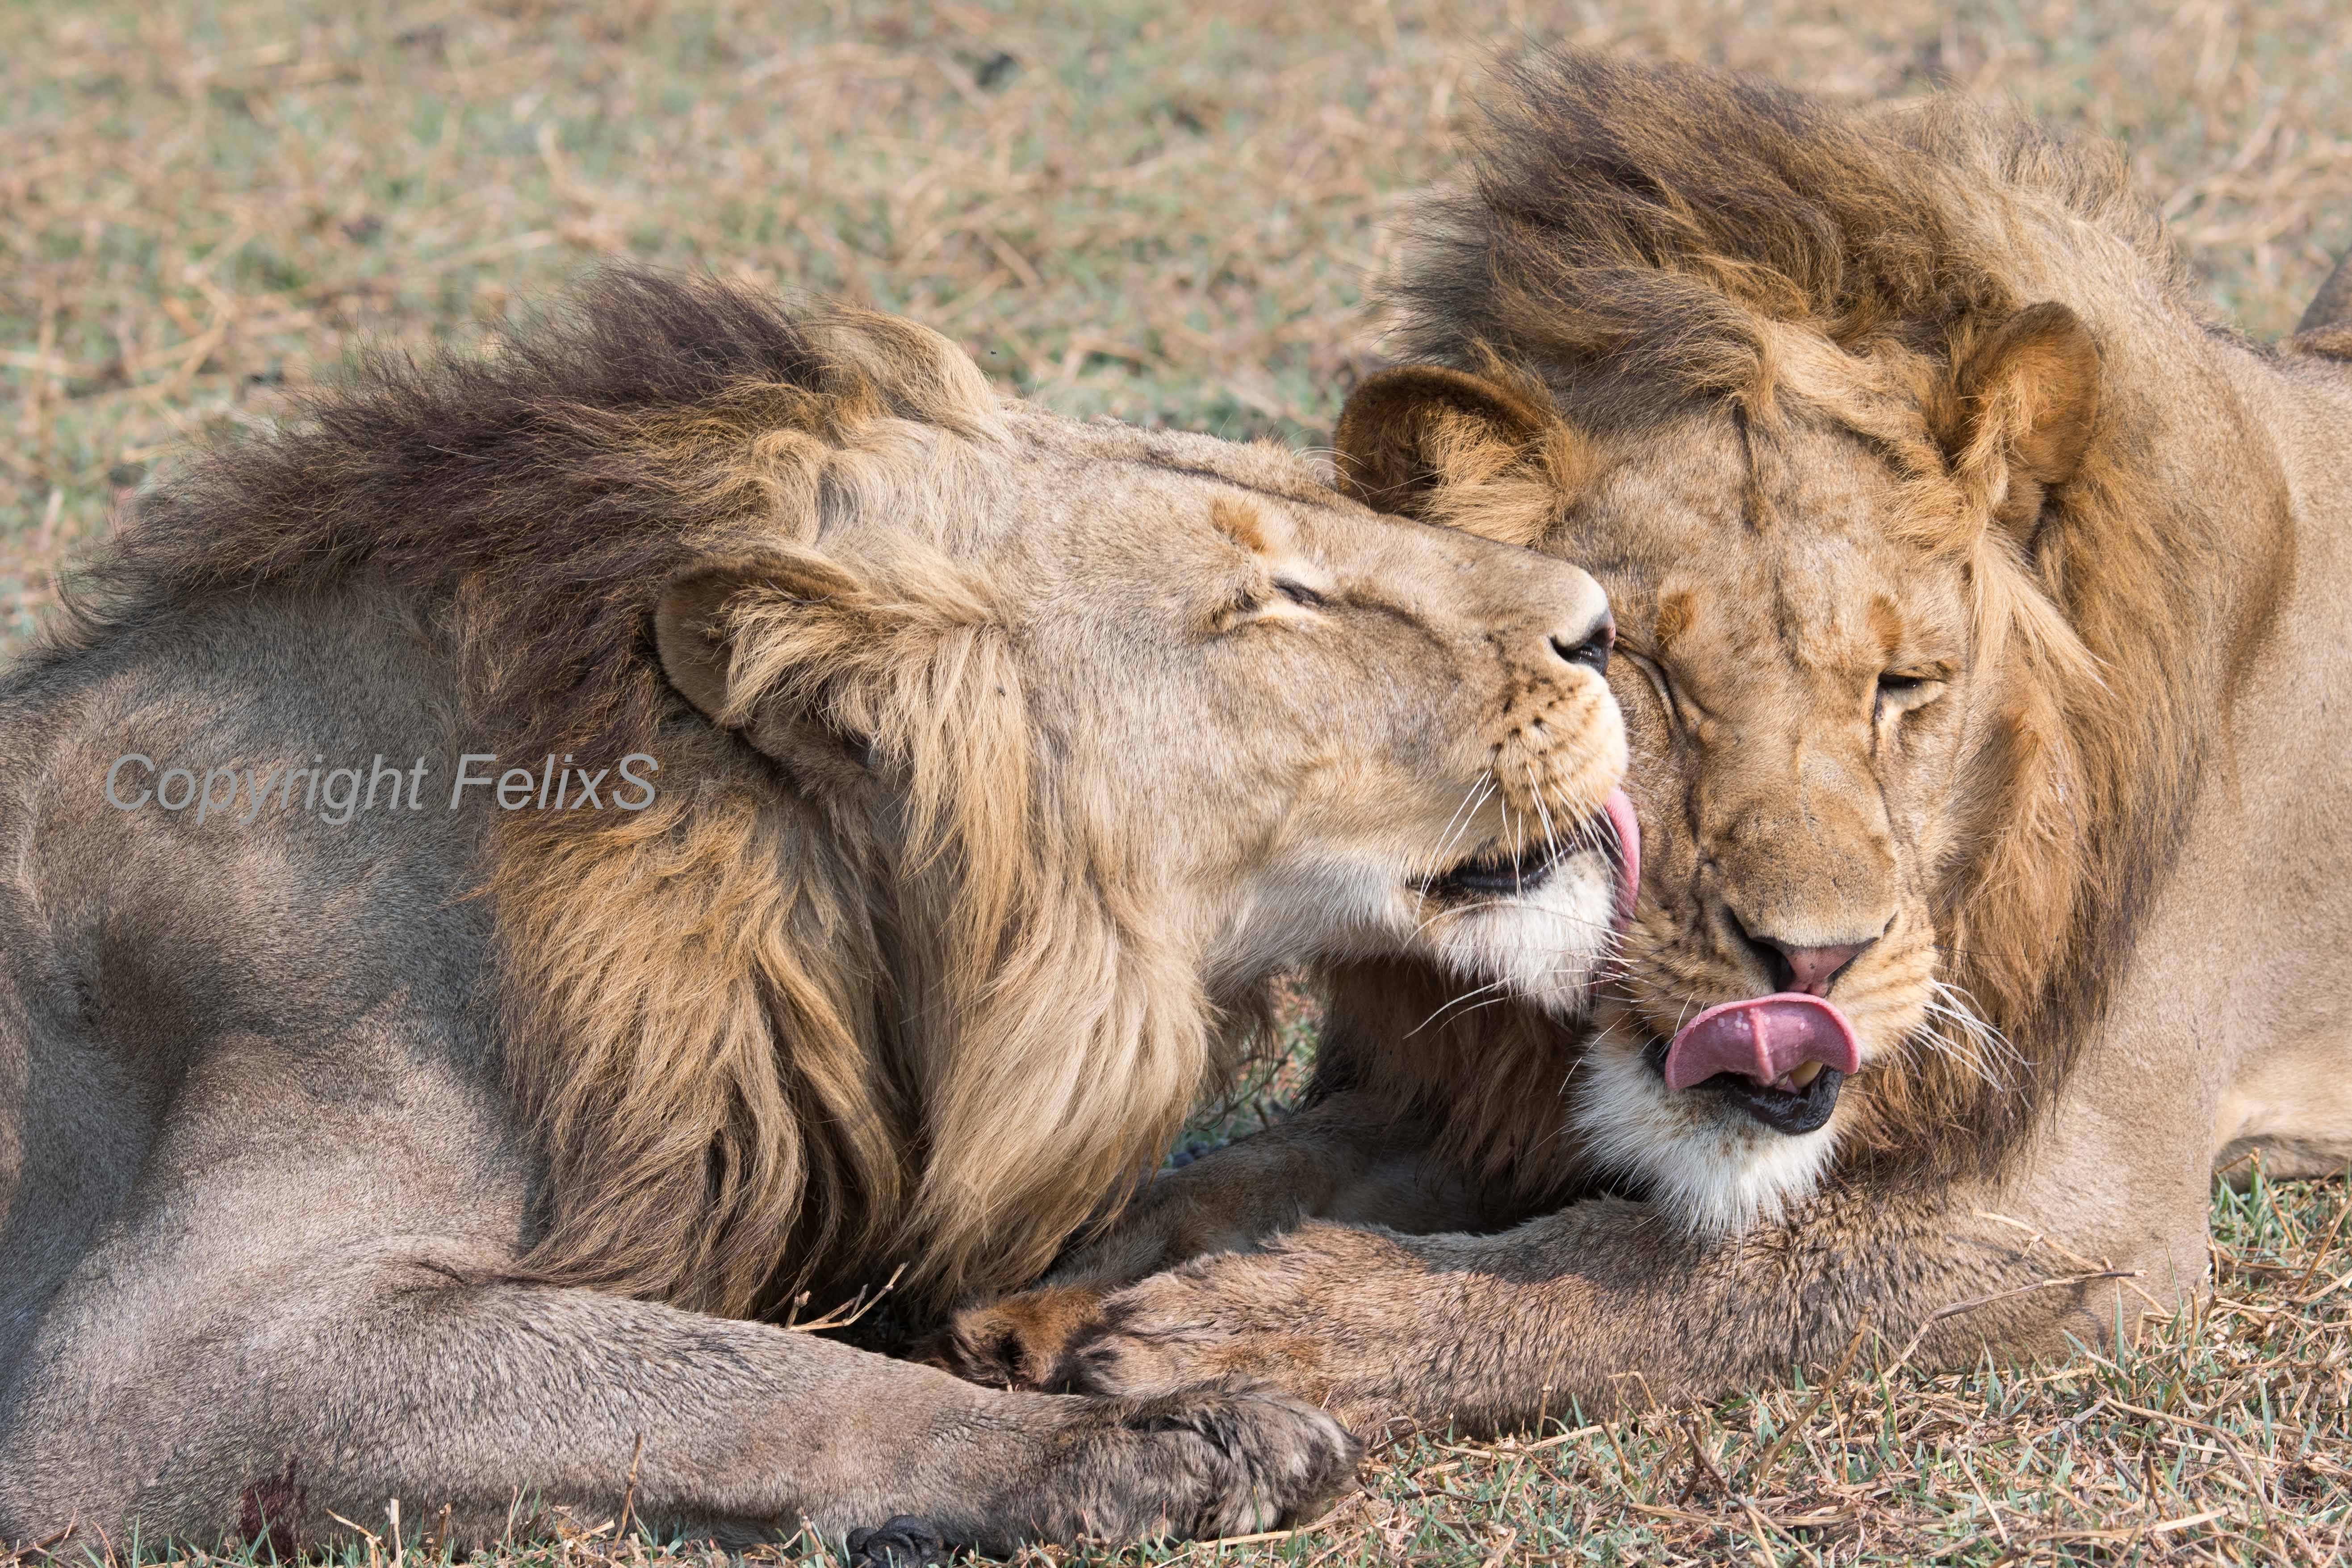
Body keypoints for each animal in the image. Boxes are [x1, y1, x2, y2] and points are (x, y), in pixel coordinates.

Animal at [945, 55, 2352, 1438]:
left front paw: (1258, 1328)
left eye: (1902, 686)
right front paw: (1046, 1290)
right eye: (1643, 670)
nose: (1810, 962)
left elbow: (1648, 1268)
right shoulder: (1463, 1086)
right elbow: (1245, 1171)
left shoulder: (2072, 1221)